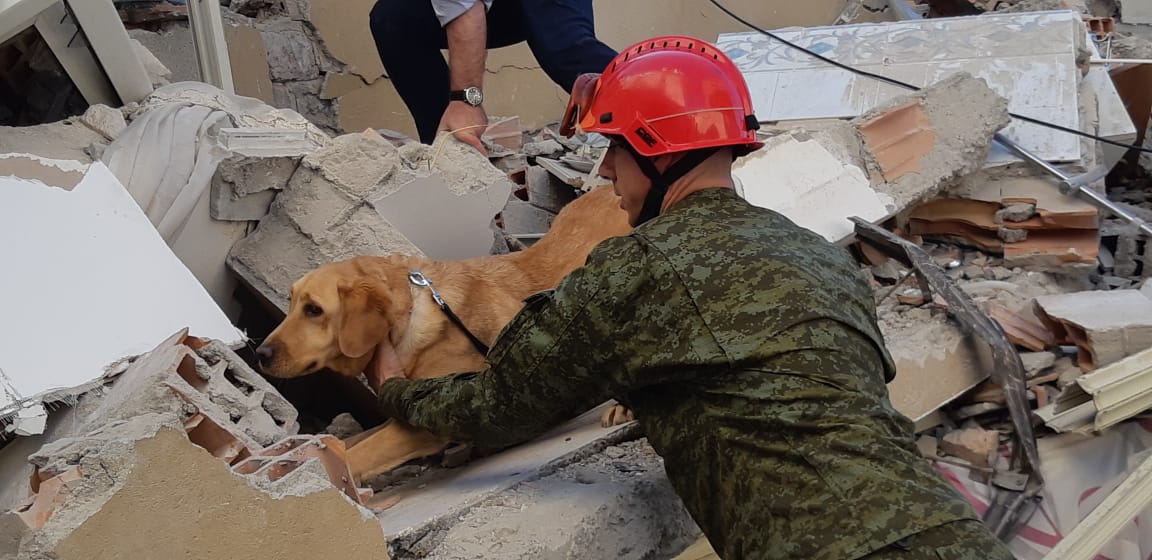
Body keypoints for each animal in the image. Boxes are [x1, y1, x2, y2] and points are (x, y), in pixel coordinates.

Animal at [254, 183, 631, 481]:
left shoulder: (433, 418)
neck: (408, 314)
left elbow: (356, 453)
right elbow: (351, 441)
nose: (260, 353)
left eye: (314, 309)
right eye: (290, 302)